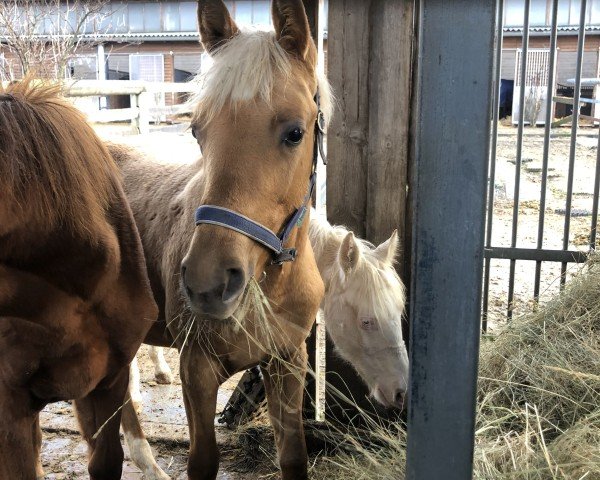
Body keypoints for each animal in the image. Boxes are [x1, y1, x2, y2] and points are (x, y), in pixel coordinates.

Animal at [113, 1, 332, 478]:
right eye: (197, 130)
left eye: (295, 132)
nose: (207, 284)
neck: (269, 285)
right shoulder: (196, 369)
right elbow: (203, 460)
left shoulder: (288, 362)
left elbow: (293, 455)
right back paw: (146, 459)